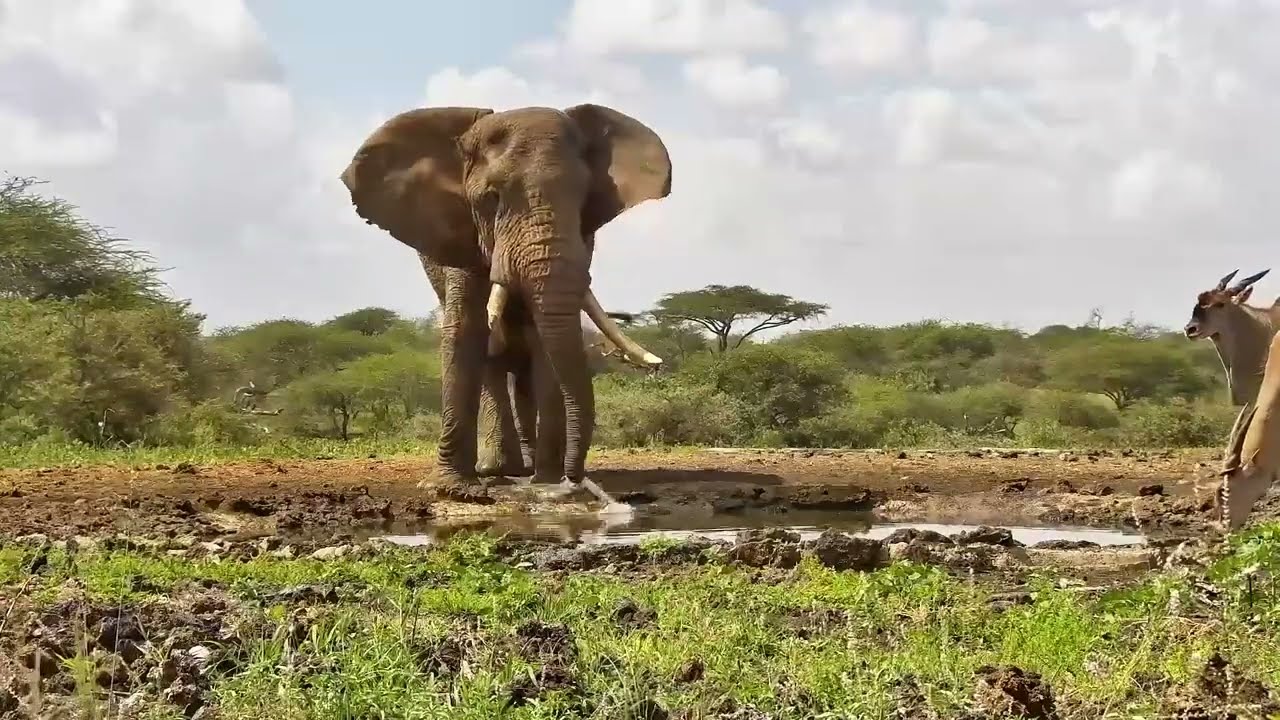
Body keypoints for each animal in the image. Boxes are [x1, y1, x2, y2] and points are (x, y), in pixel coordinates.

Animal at [342, 104, 669, 494]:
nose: (575, 479)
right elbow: (465, 330)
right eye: (491, 198)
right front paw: (450, 488)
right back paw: (496, 467)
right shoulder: (461, 234)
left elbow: (543, 341)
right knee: (492, 362)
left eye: (583, 199)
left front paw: (546, 481)